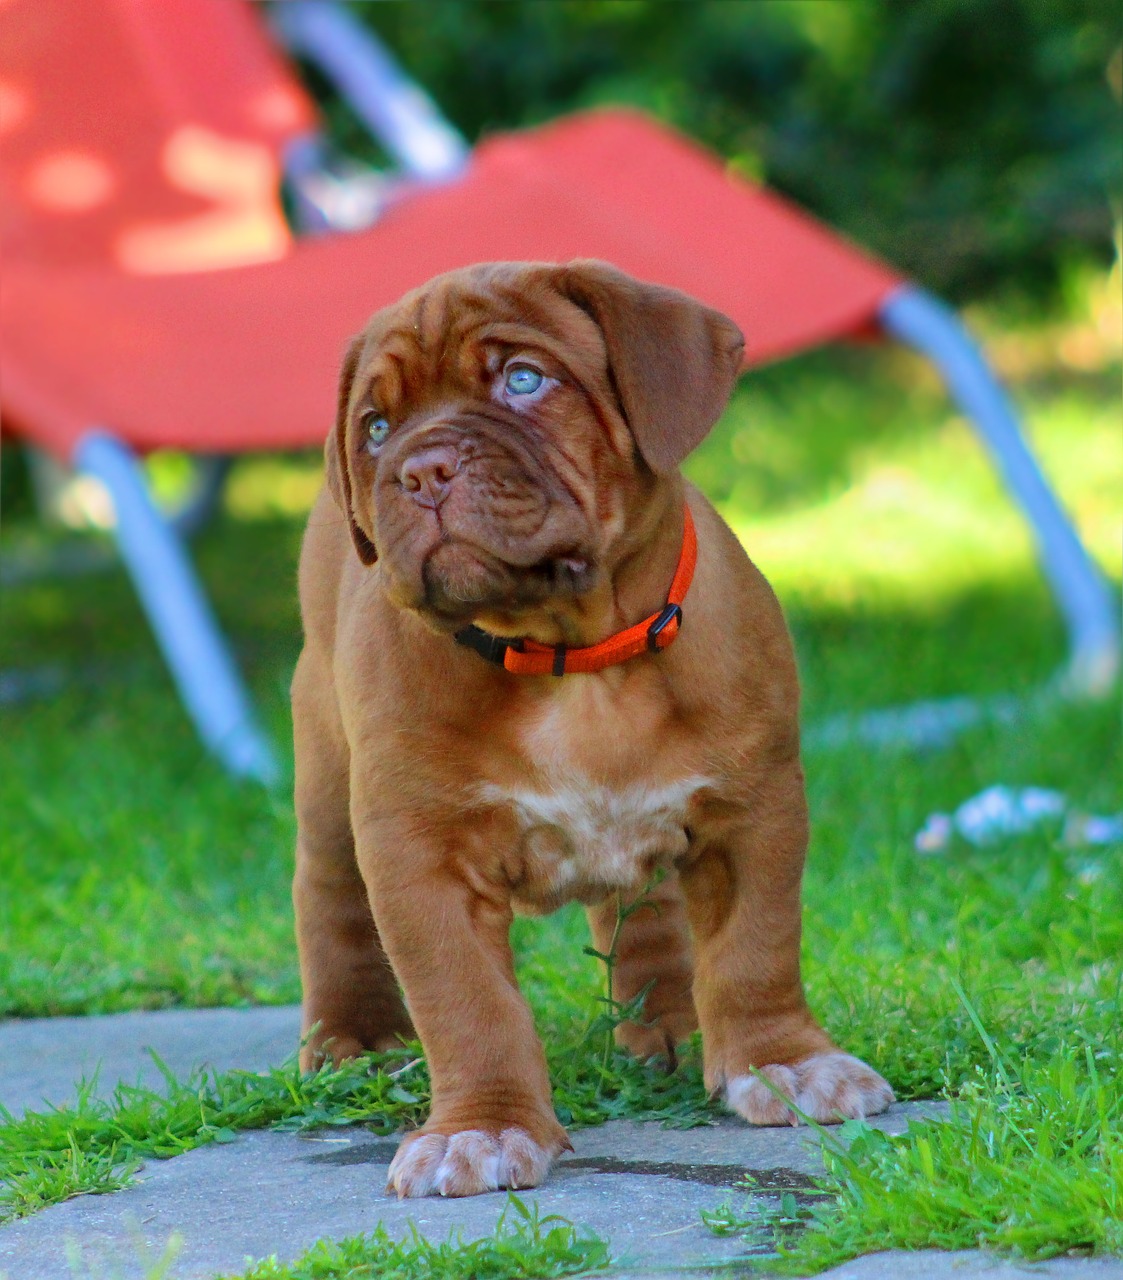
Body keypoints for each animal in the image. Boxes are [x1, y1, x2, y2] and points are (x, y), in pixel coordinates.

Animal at [291, 257, 896, 1198]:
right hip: (326, 777)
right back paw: (352, 1042)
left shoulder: (752, 812)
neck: (573, 659)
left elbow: (755, 948)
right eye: (378, 428)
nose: (419, 471)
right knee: (328, 899)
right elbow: (466, 1003)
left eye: (523, 379)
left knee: (644, 915)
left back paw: (667, 1026)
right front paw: (481, 1128)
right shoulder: (418, 854)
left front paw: (782, 1063)